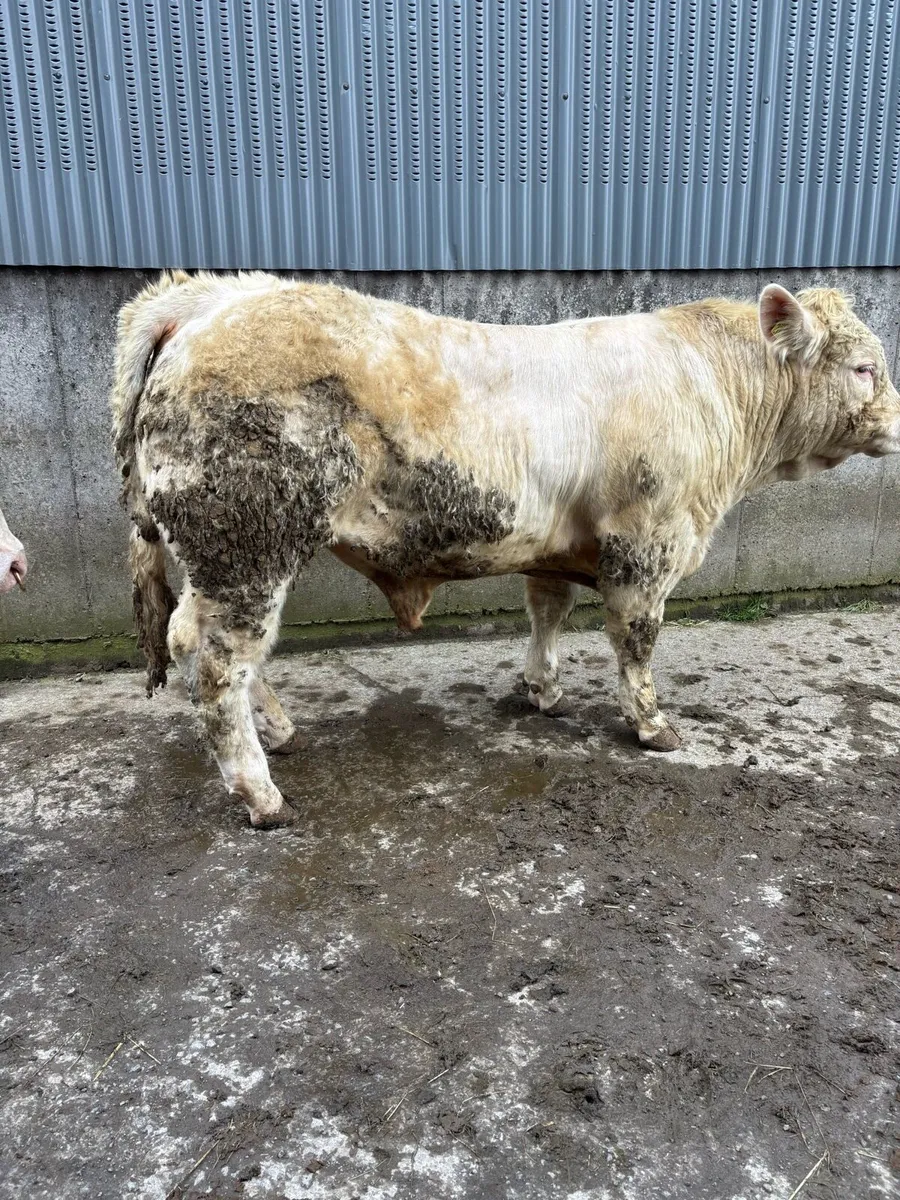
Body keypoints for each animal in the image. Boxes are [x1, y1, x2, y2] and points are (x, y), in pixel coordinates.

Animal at [111, 271, 900, 828]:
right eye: (864, 368)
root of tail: (208, 299)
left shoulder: (558, 543)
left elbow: (547, 611)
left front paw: (543, 690)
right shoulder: (648, 541)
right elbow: (636, 640)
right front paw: (651, 724)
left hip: (226, 555)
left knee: (211, 648)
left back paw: (278, 732)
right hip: (248, 545)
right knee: (219, 659)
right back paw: (261, 793)